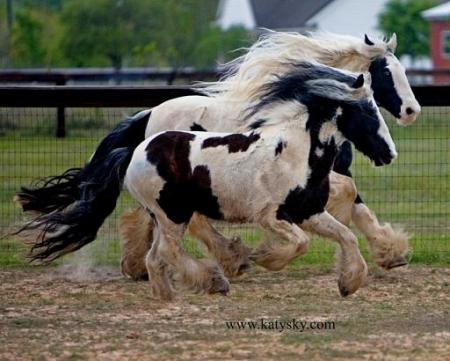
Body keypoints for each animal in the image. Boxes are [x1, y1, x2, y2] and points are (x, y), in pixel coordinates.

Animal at [14, 31, 420, 280]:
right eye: (386, 72)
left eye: (404, 69)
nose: (411, 111)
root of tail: (149, 114)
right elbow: (346, 198)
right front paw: (272, 247)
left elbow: (357, 206)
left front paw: (392, 253)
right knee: (187, 220)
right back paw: (231, 259)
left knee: (154, 217)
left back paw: (141, 266)